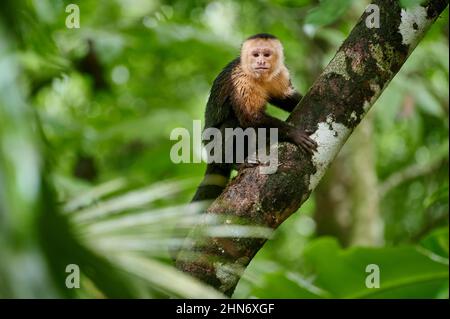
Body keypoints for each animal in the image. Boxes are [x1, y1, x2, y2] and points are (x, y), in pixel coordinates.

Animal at [192, 33, 318, 202]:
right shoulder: (242, 79)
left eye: (266, 54)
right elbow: (250, 118)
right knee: (234, 124)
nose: (261, 62)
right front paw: (294, 134)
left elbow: (283, 97)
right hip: (213, 147)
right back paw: (235, 163)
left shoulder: (280, 73)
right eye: (256, 55)